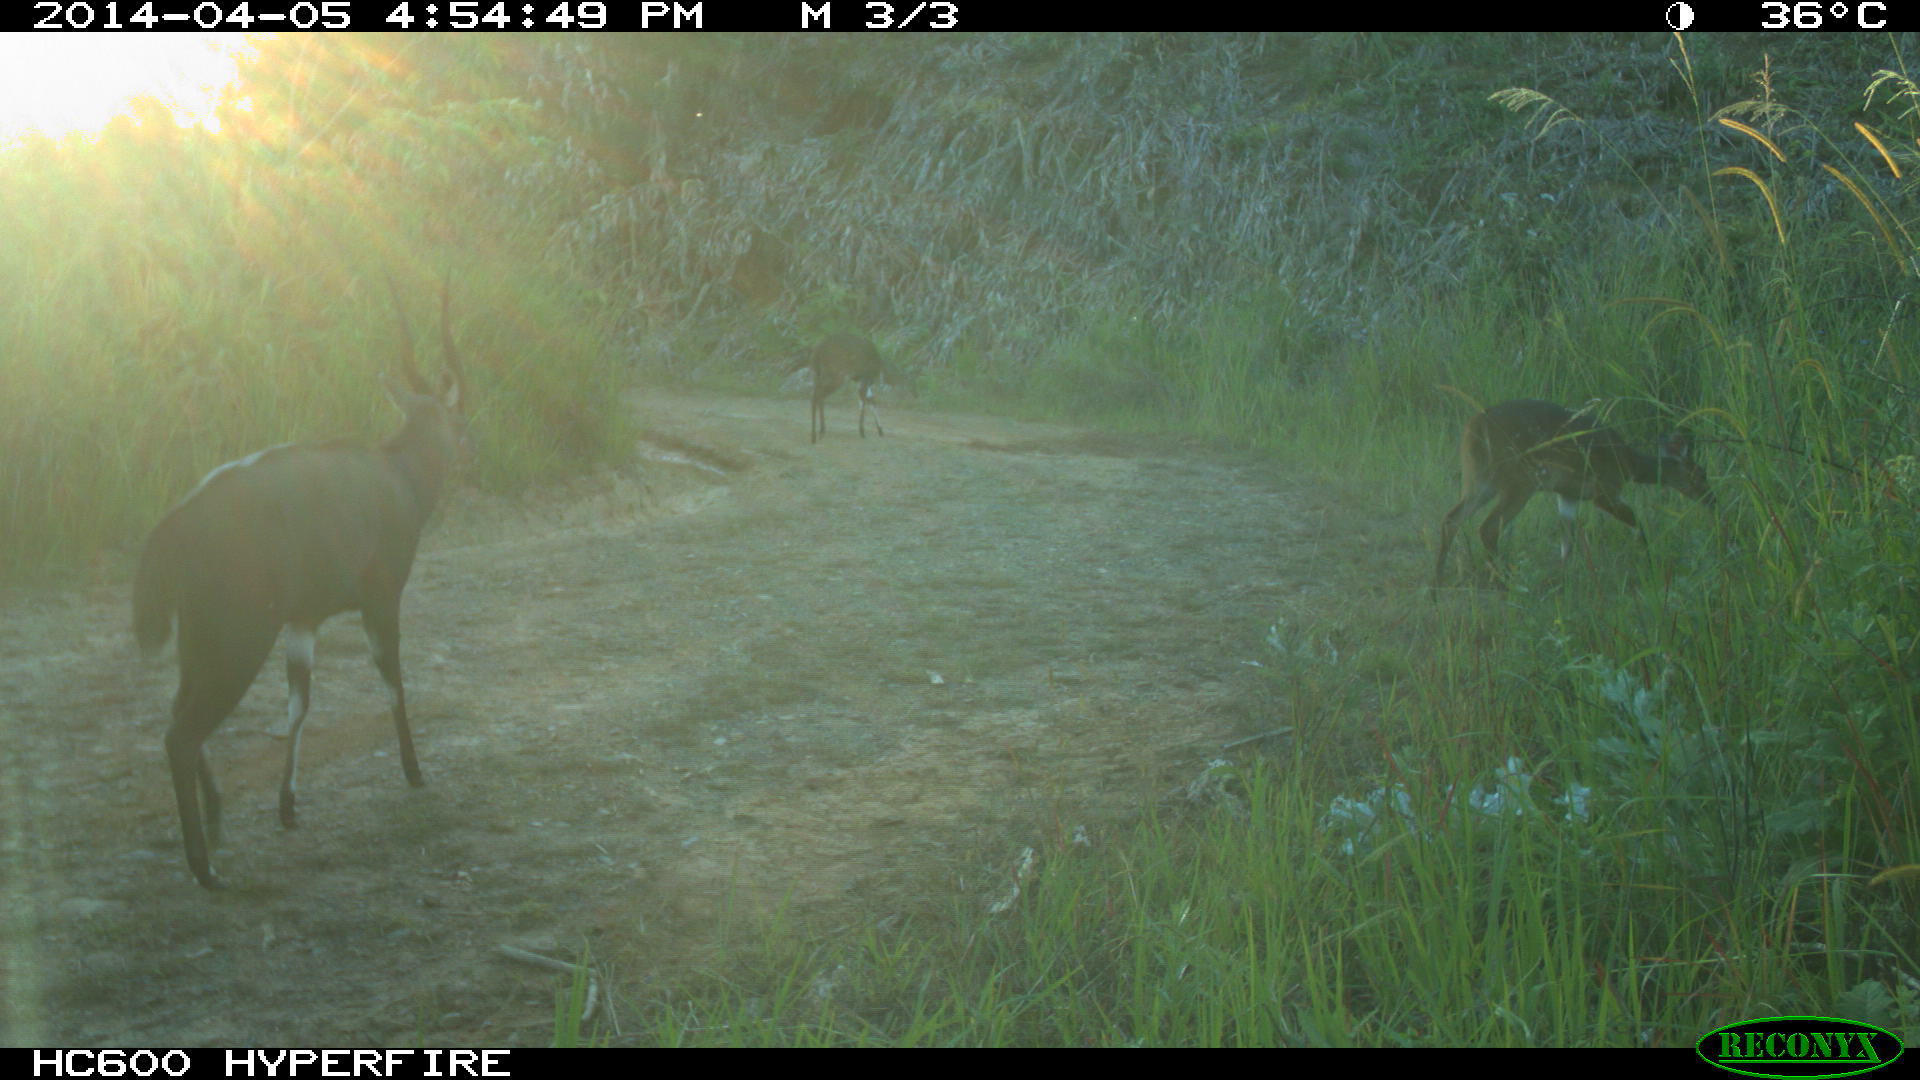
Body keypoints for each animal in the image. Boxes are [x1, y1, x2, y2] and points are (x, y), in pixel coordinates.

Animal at [133, 274, 470, 883]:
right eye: (460, 417)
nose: (470, 445)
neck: (396, 474)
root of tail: (174, 527)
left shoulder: (302, 622)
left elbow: (299, 704)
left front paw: (288, 806)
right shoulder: (381, 599)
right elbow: (392, 680)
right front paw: (414, 771)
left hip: (204, 641)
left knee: (178, 713)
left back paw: (216, 820)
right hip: (237, 641)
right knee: (180, 731)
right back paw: (204, 869)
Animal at [1428, 395, 1712, 584]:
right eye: (1701, 474)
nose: (1712, 499)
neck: (1629, 464)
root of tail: (1473, 428)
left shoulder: (1568, 494)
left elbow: (1567, 540)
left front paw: (1562, 577)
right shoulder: (1603, 490)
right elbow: (1637, 523)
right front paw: (1651, 562)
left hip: (1478, 478)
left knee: (1452, 518)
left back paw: (1438, 579)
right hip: (1519, 480)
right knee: (1487, 527)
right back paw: (1504, 579)